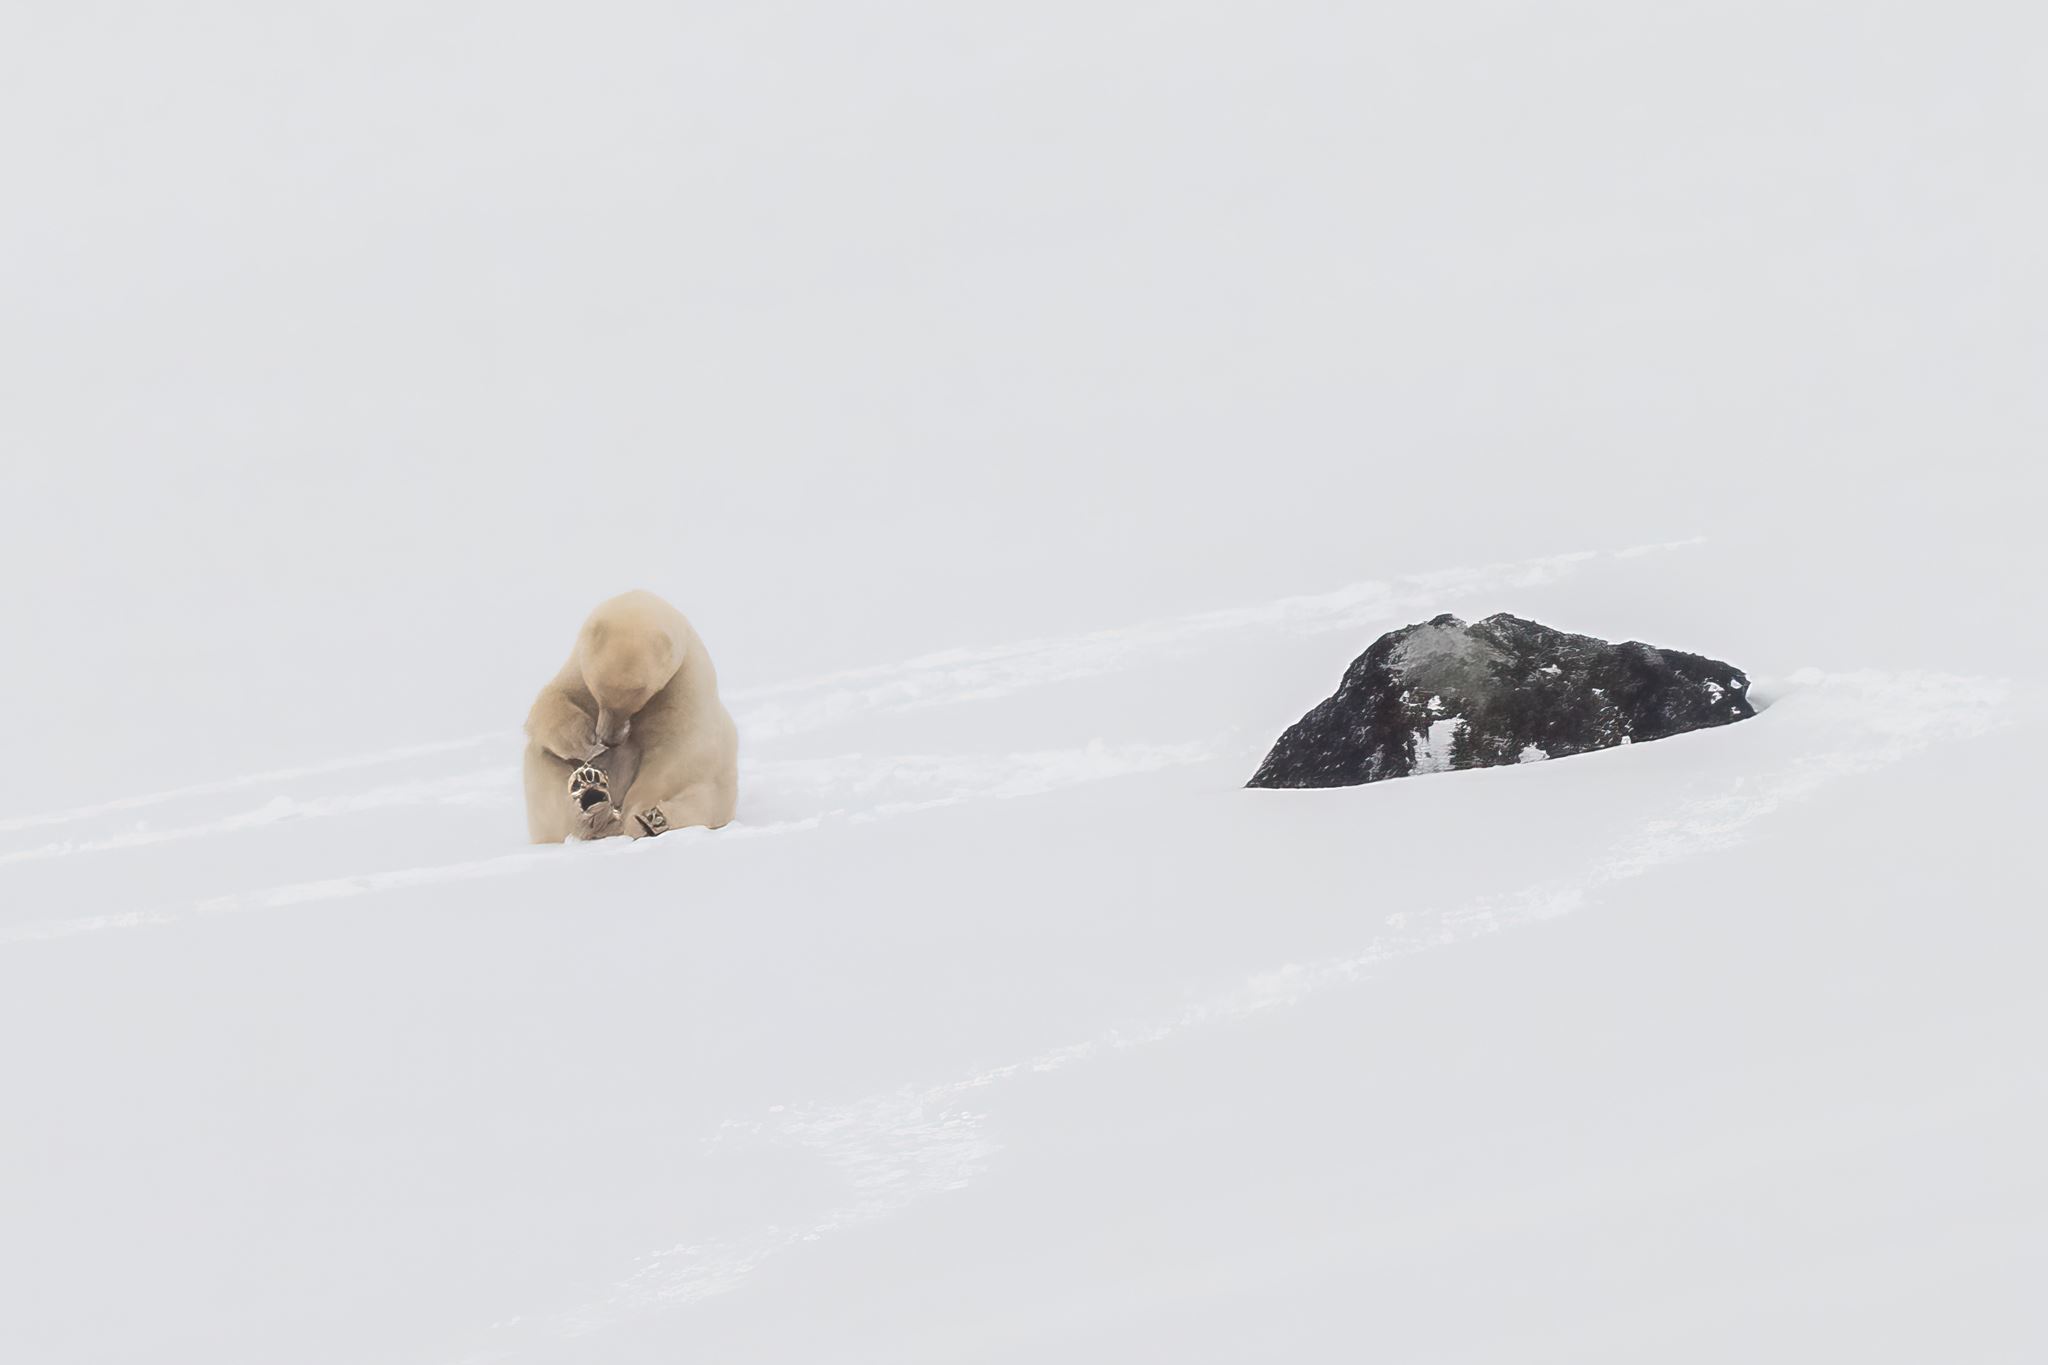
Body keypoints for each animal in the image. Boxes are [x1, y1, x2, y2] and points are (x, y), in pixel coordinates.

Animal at [522, 589, 739, 844]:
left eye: (639, 695)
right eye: (599, 692)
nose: (607, 739)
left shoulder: (683, 686)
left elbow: (674, 753)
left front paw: (637, 813)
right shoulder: (577, 670)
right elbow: (552, 701)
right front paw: (583, 741)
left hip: (721, 787)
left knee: (704, 802)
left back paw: (650, 820)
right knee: (544, 768)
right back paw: (589, 796)